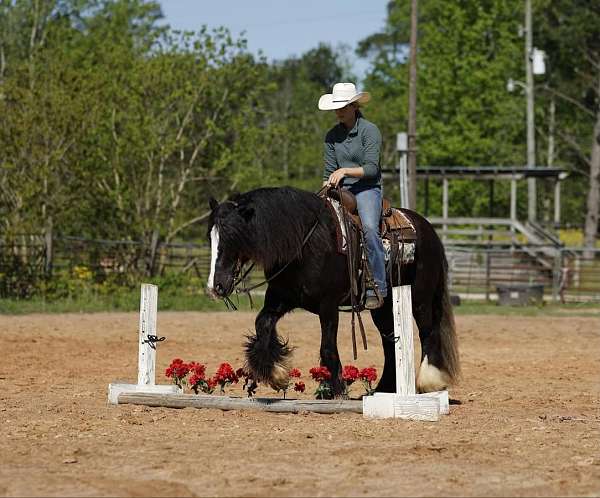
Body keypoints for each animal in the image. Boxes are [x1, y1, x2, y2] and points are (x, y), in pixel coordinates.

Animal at [206, 186, 460, 396]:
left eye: (233, 237)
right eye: (211, 237)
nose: (215, 286)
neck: (305, 242)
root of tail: (428, 230)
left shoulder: (328, 305)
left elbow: (327, 347)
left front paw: (334, 389)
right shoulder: (280, 298)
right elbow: (262, 324)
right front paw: (277, 374)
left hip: (420, 299)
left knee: (428, 332)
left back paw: (429, 381)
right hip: (383, 307)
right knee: (390, 343)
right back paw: (382, 389)